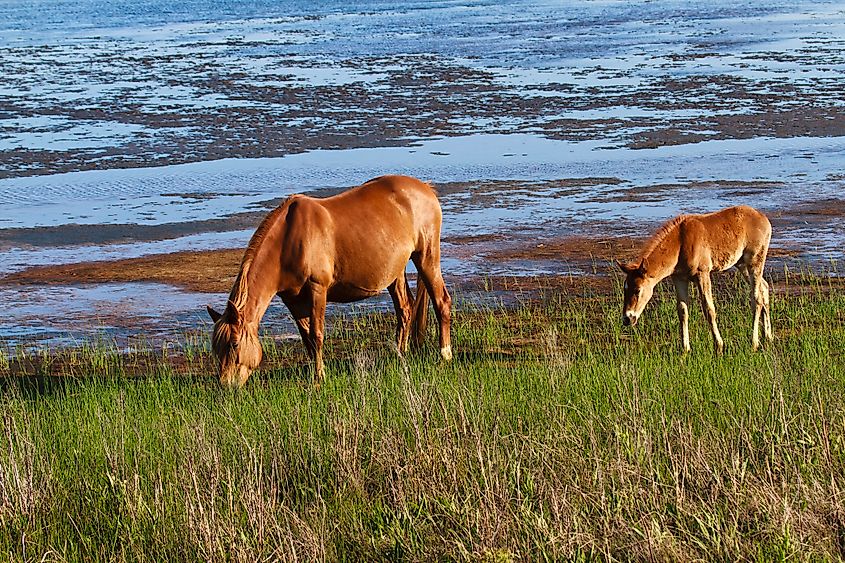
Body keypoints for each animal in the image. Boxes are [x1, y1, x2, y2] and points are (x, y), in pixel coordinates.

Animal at [207, 175, 453, 388]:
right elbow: (306, 337)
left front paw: (319, 379)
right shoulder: (292, 300)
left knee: (441, 302)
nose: (226, 386)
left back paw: (445, 355)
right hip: (396, 272)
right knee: (405, 310)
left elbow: (316, 334)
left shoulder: (317, 289)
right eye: (216, 347)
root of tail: (426, 188)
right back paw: (400, 355)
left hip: (426, 257)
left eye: (234, 343)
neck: (288, 241)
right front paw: (314, 375)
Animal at [617, 205, 772, 354]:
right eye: (625, 288)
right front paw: (685, 349)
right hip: (741, 264)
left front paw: (719, 346)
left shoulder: (702, 274)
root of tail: (763, 218)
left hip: (754, 261)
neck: (680, 243)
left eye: (638, 290)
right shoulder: (679, 278)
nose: (627, 318)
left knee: (756, 298)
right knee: (764, 288)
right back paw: (768, 337)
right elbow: (682, 311)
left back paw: (754, 343)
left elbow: (709, 309)